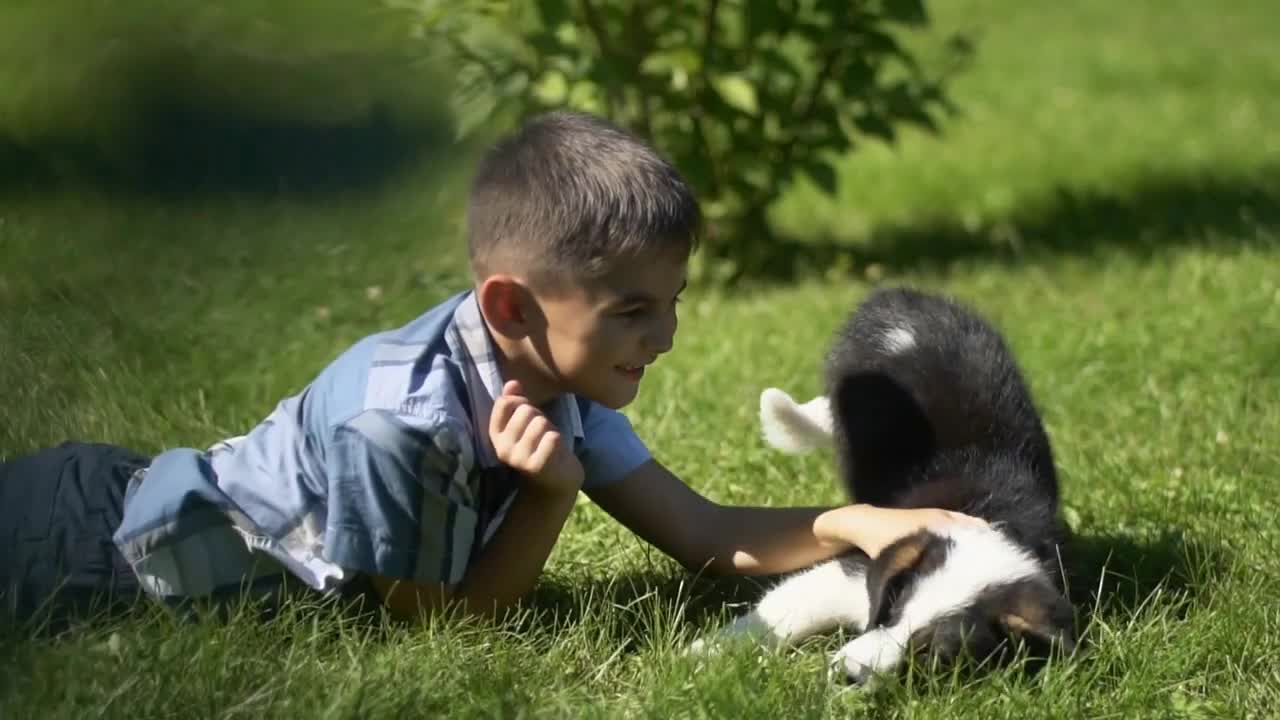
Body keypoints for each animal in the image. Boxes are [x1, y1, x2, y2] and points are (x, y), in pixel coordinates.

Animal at [701, 283, 1070, 681]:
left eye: (933, 653)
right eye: (892, 610)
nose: (846, 676)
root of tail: (903, 296)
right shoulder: (851, 572)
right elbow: (775, 615)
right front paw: (704, 655)